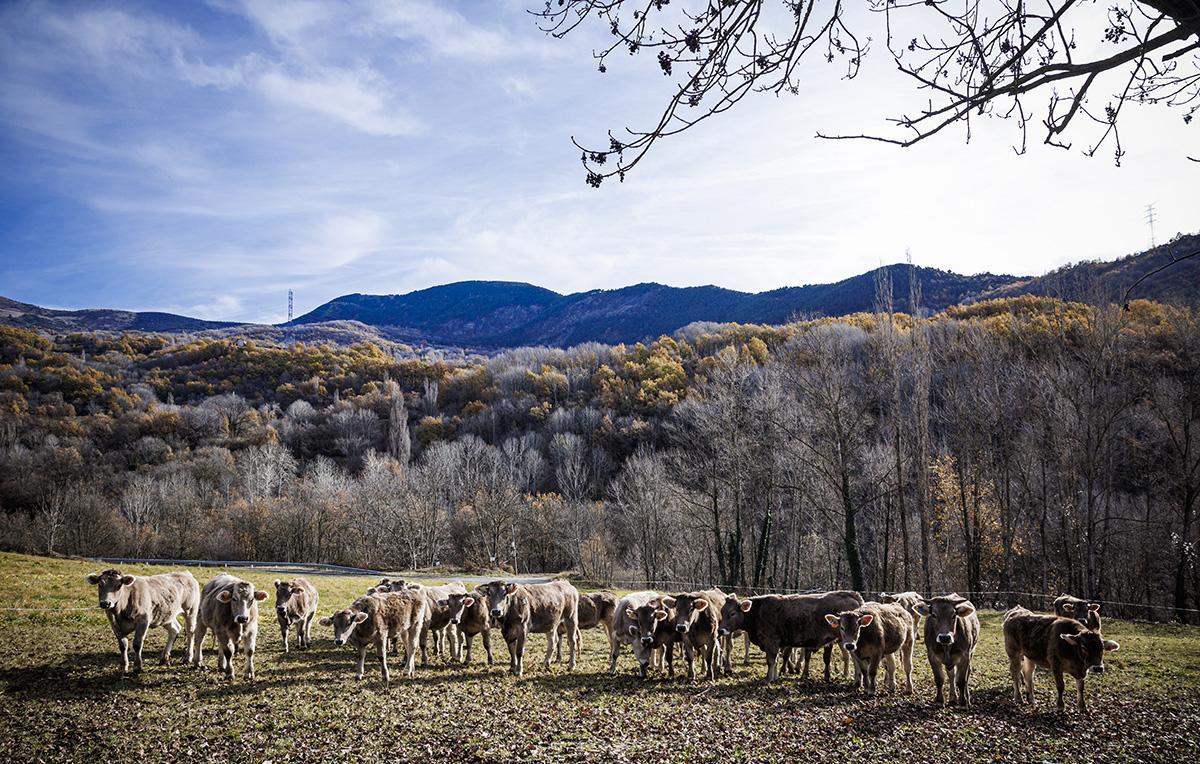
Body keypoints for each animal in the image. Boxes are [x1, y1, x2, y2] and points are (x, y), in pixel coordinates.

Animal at [720, 587, 864, 681]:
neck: (758, 611)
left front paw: (768, 678)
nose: (721, 630)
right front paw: (775, 676)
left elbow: (771, 661)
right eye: (721, 612)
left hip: (848, 641)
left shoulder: (770, 642)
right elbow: (777, 660)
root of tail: (850, 593)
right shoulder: (777, 644)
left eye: (732, 613)